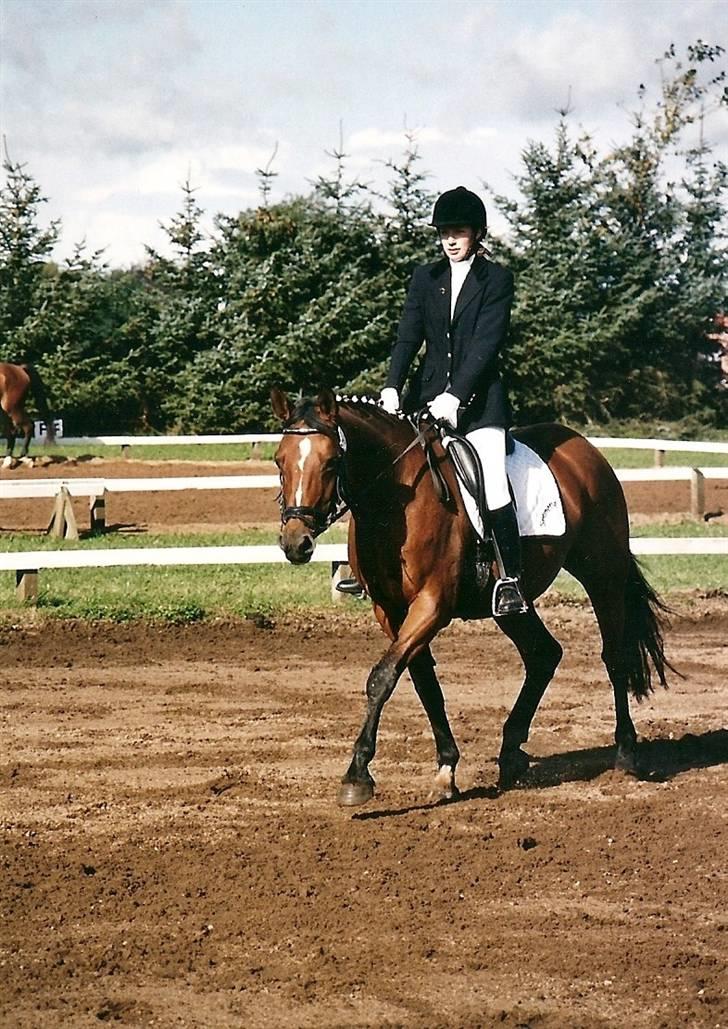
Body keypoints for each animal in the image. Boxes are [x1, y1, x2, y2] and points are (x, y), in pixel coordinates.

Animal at [269, 388, 675, 806]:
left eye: (332, 462)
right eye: (279, 459)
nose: (296, 543)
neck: (394, 502)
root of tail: (584, 449)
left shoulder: (432, 605)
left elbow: (381, 677)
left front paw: (356, 776)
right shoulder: (391, 611)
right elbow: (422, 682)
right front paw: (446, 768)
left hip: (602, 575)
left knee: (614, 657)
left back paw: (625, 755)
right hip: (510, 604)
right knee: (543, 654)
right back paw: (511, 754)